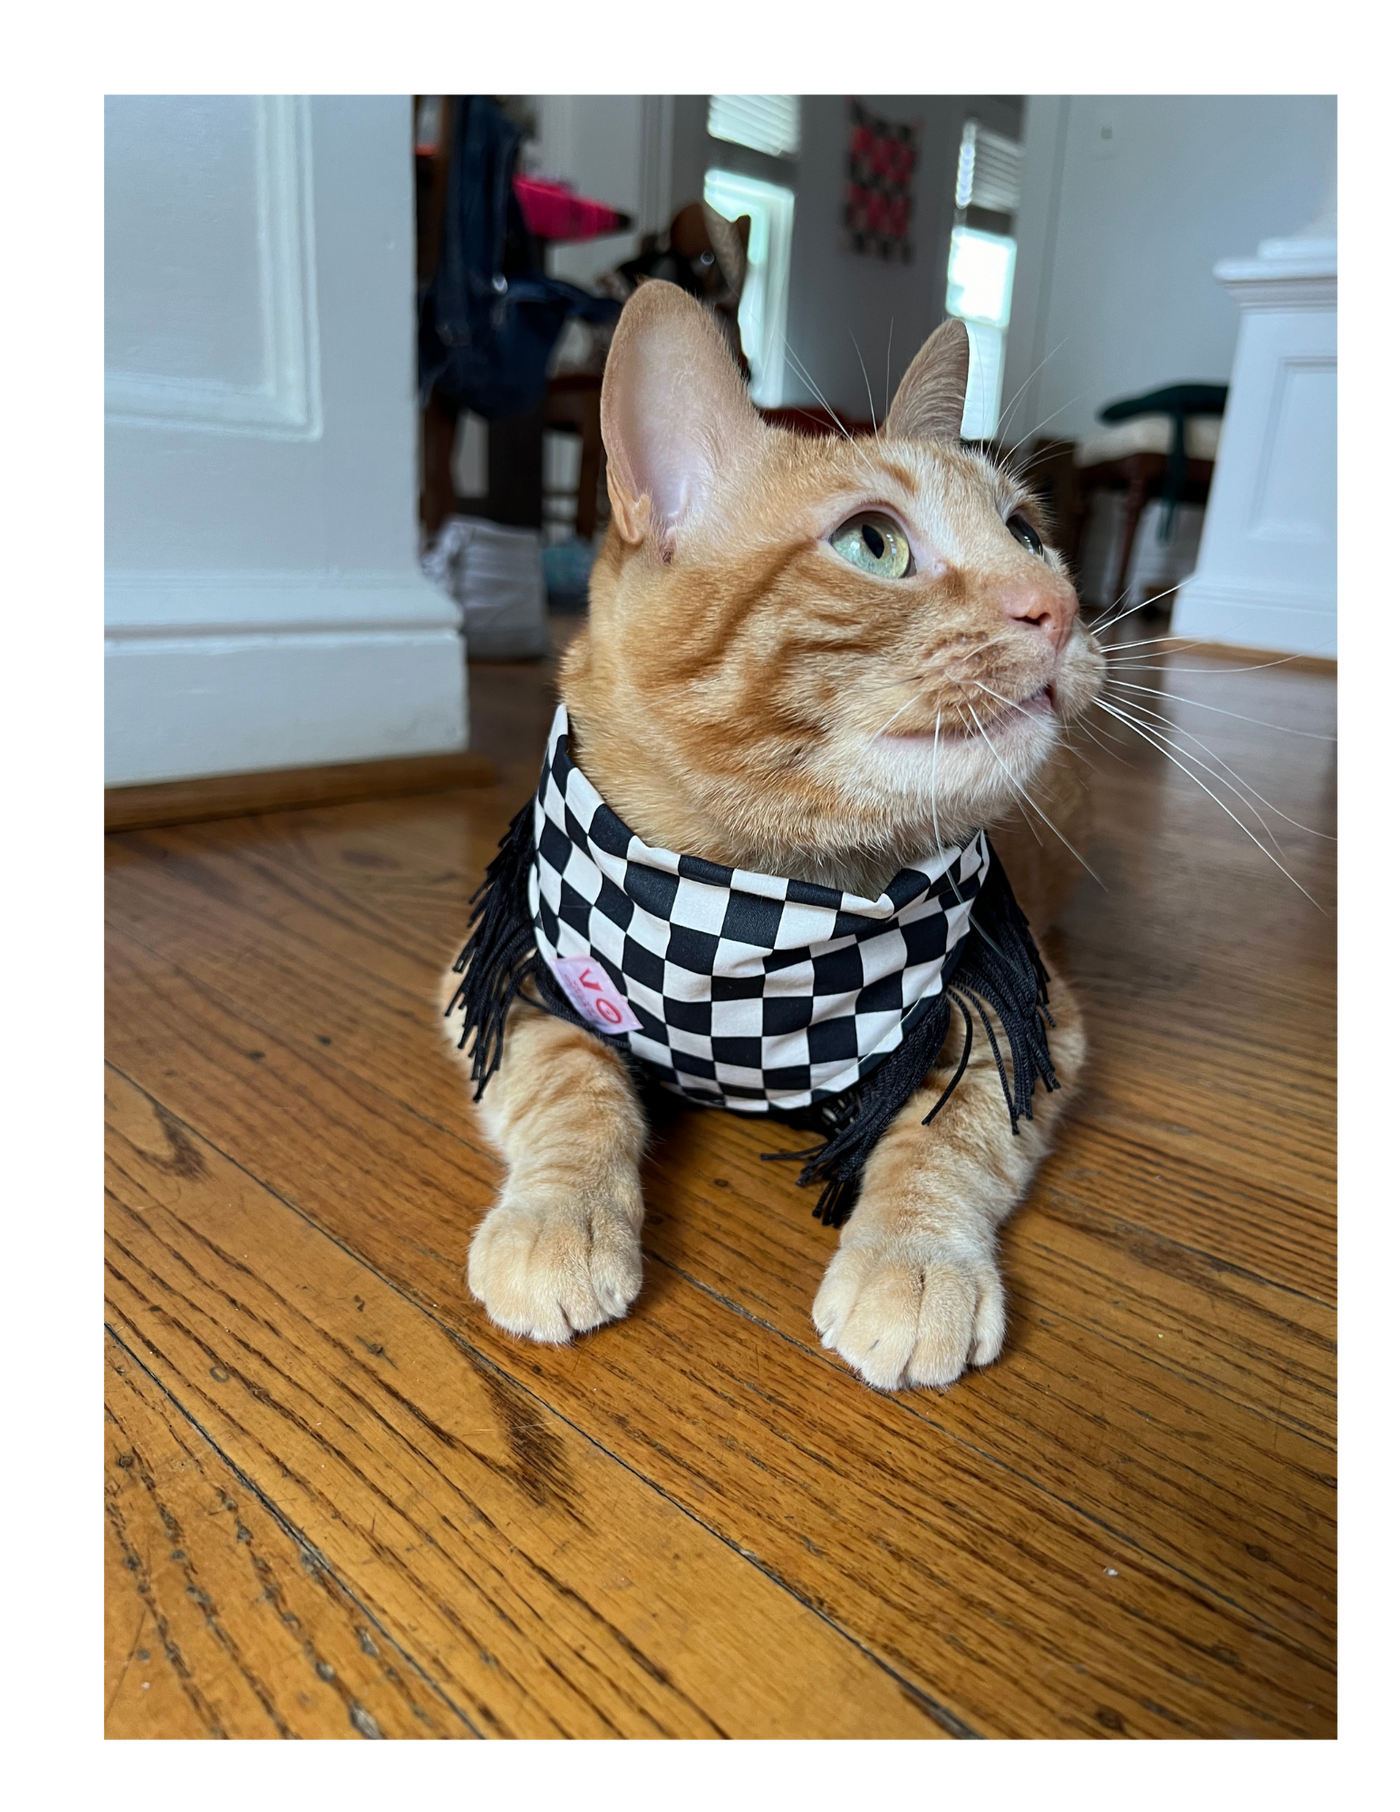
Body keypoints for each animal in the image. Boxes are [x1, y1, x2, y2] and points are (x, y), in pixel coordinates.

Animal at [436, 279, 1101, 1384]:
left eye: (1025, 530)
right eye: (872, 543)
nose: (1055, 605)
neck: (763, 904)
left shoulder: (1030, 1010)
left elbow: (951, 1125)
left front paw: (914, 1259)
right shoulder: (504, 966)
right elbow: (572, 1083)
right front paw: (561, 1216)